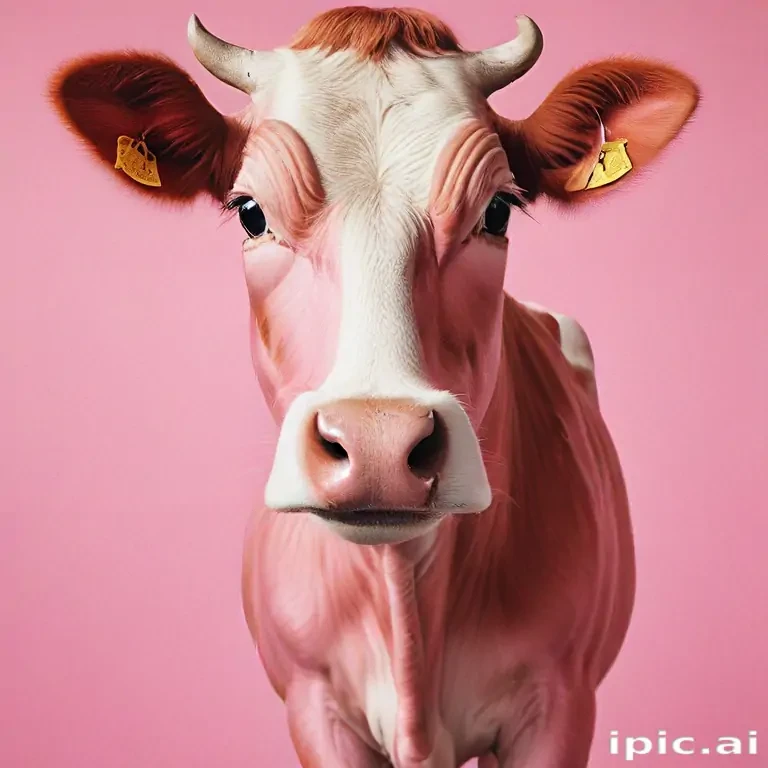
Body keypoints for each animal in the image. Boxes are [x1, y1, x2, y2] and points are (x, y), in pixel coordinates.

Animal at [50, 7, 699, 767]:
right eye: (250, 212)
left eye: (499, 211)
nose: (378, 442)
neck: (405, 592)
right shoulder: (313, 705)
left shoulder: (561, 705)